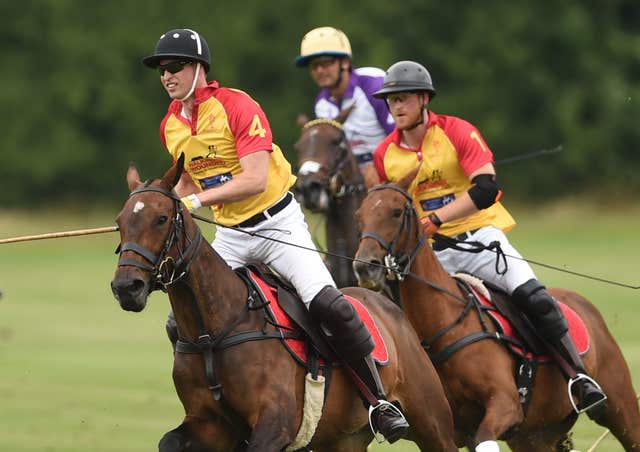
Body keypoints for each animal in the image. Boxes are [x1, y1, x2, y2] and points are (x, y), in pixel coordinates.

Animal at [111, 156, 460, 452]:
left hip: (432, 422)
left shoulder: (276, 424)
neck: (216, 329)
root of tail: (389, 306)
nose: (126, 287)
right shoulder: (208, 423)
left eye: (161, 218)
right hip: (343, 439)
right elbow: (169, 442)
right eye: (120, 222)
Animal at [352, 178, 636, 450]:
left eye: (397, 212)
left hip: (620, 405)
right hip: (535, 435)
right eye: (359, 215)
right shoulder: (450, 427)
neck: (442, 326)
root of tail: (580, 300)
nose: (365, 266)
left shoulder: (505, 405)